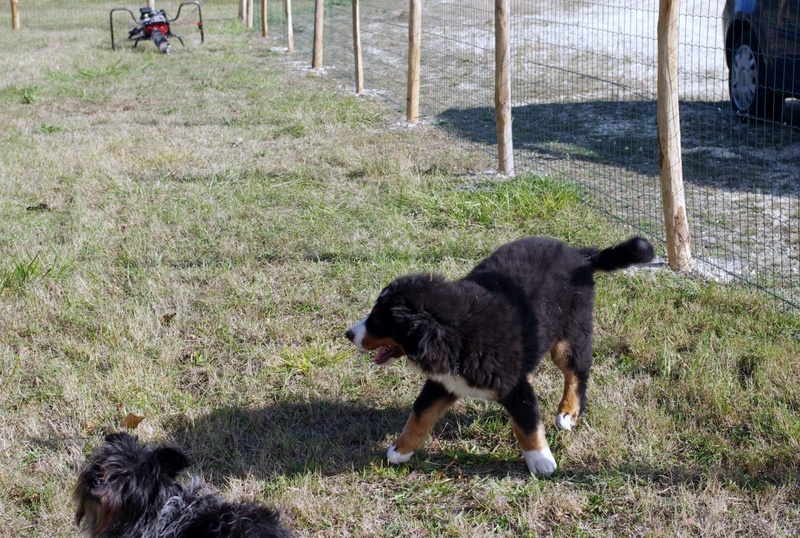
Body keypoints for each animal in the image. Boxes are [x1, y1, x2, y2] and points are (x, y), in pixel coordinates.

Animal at [346, 234, 652, 474]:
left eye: (377, 319)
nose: (349, 333)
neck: (460, 336)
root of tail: (580, 254)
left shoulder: (515, 385)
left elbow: (527, 424)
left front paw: (541, 461)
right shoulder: (443, 382)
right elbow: (420, 414)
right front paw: (401, 449)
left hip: (571, 335)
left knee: (577, 373)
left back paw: (568, 412)